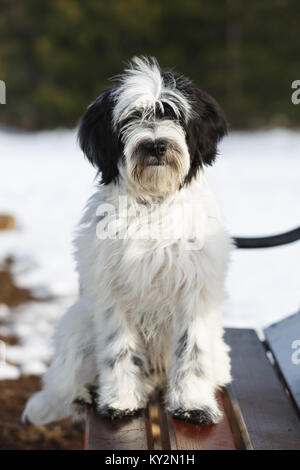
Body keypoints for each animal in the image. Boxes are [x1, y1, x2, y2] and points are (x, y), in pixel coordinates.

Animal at [22, 56, 232, 426]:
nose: (155, 145)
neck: (152, 204)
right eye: (131, 118)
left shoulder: (195, 291)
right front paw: (120, 400)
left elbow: (192, 351)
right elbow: (118, 351)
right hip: (78, 326)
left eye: (173, 114)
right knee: (63, 382)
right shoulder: (112, 294)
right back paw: (83, 393)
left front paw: (193, 403)